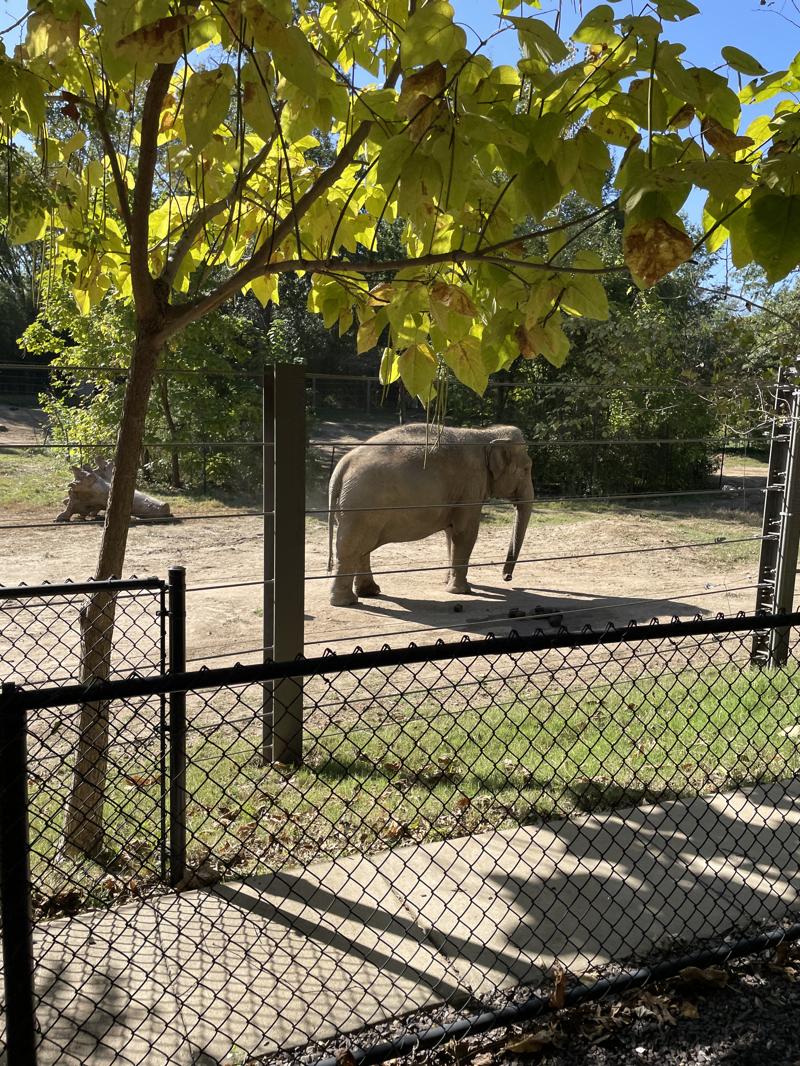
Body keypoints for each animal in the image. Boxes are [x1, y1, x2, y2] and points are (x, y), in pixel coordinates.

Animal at [327, 424, 534, 607]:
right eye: (526, 469)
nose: (507, 578)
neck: (485, 434)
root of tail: (342, 466)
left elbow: (451, 534)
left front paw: (448, 582)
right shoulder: (471, 485)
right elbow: (465, 533)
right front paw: (461, 591)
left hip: (353, 508)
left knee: (362, 547)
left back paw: (370, 592)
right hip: (359, 507)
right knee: (351, 547)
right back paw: (346, 602)